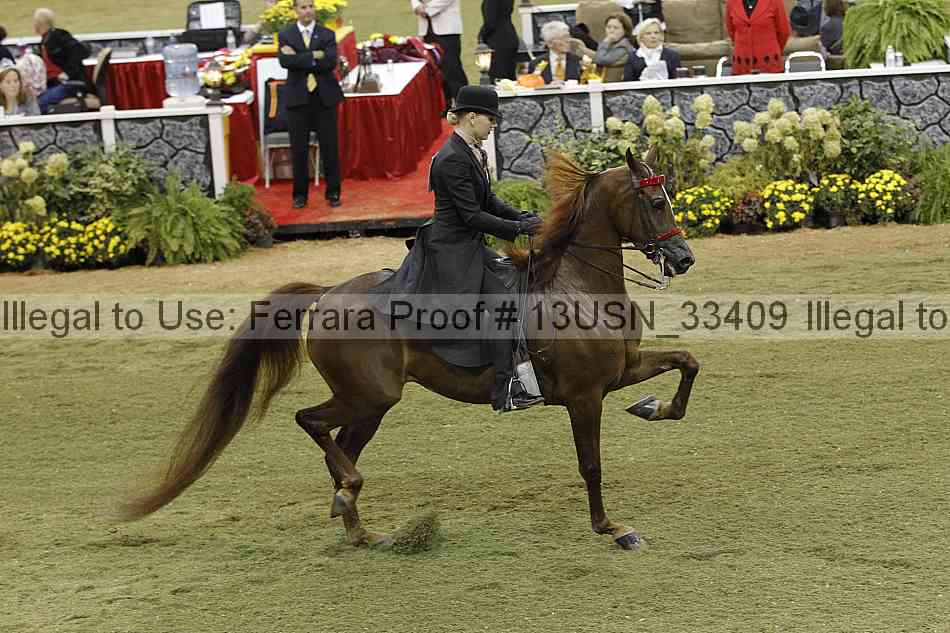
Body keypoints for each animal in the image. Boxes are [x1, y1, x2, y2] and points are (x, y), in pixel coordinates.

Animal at [120, 147, 699, 551]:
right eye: (655, 202)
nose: (684, 259)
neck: (579, 288)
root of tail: (327, 292)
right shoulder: (584, 395)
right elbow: (591, 465)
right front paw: (611, 527)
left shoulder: (620, 372)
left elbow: (687, 362)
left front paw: (655, 407)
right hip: (370, 396)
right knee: (312, 424)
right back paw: (348, 494)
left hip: (369, 405)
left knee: (338, 447)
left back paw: (356, 525)